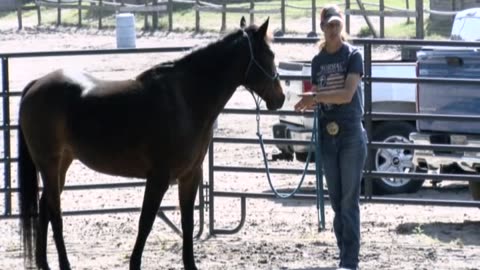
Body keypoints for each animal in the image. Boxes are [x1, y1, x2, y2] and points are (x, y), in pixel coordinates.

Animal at [18, 17, 284, 268]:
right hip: (50, 165)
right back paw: (63, 264)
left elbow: (187, 222)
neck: (186, 99)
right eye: (270, 55)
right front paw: (134, 263)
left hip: (61, 165)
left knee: (44, 207)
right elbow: (145, 222)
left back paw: (43, 263)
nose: (280, 98)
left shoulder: (190, 176)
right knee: (55, 212)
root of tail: (36, 85)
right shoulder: (158, 178)